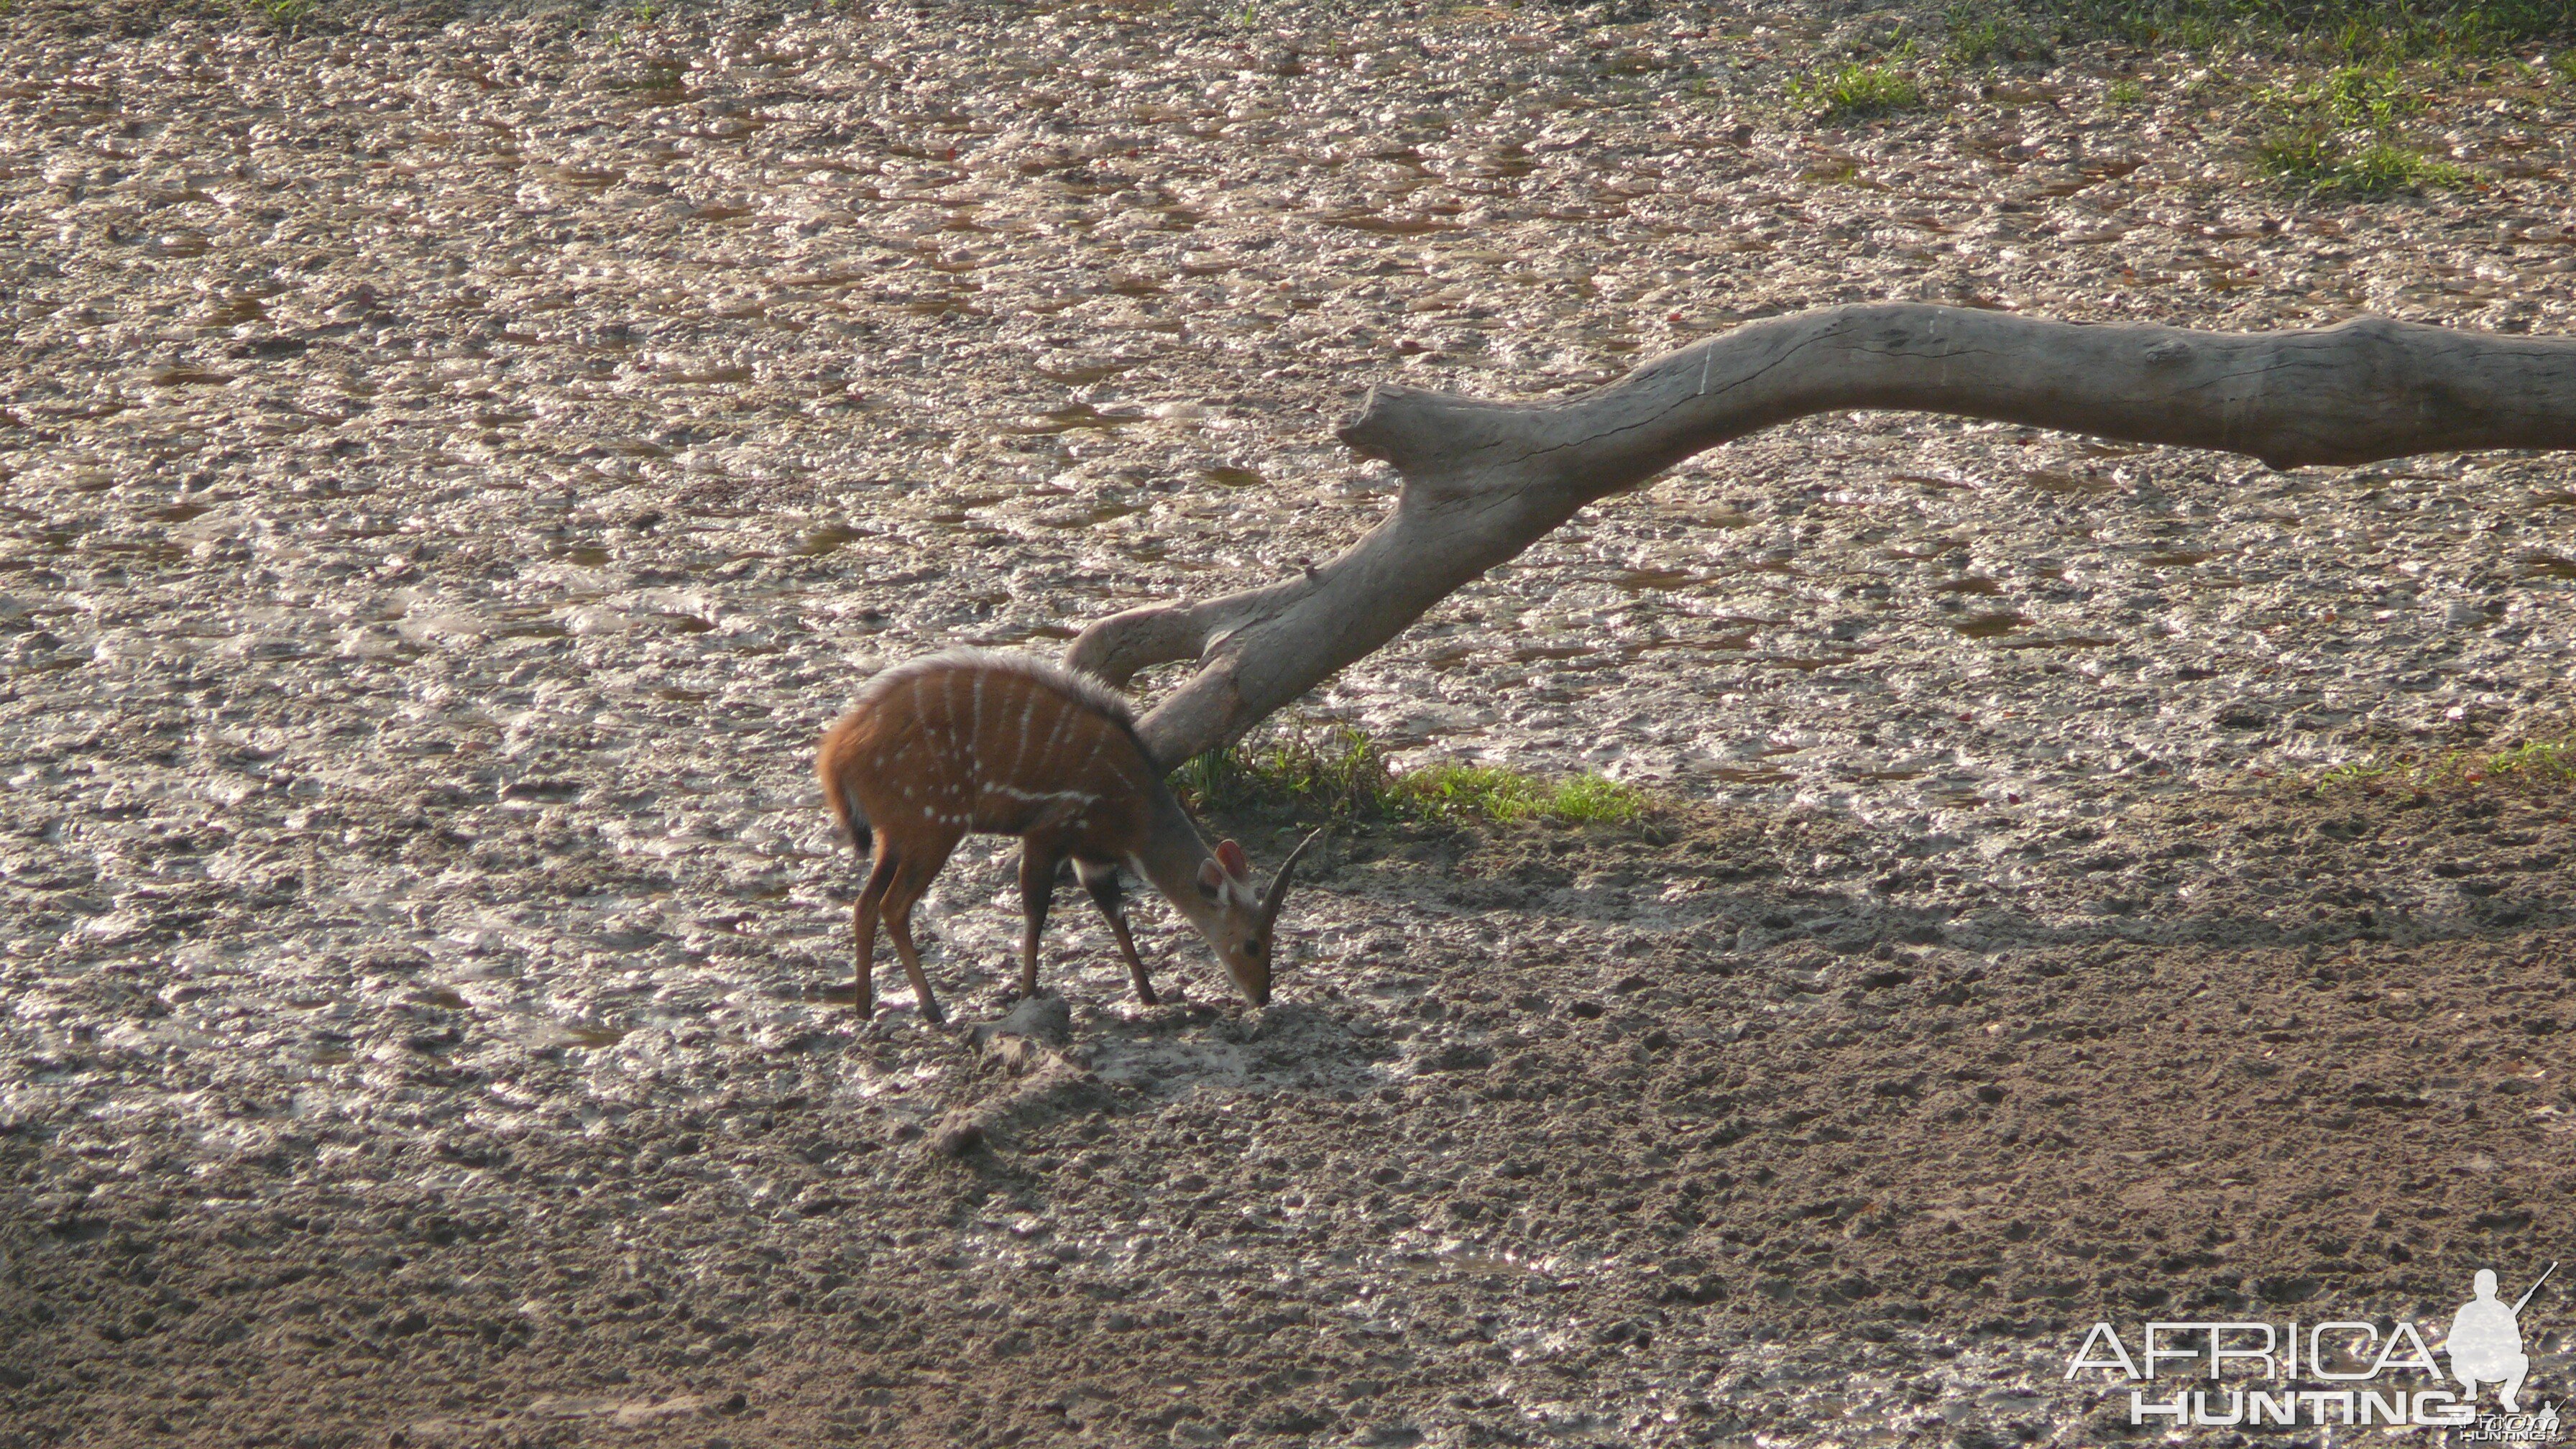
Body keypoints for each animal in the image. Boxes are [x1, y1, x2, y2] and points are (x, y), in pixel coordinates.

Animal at [814, 649, 1319, 1021]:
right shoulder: (1048, 834)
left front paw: (1150, 994)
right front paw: (1027, 993)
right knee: (892, 906)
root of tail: (837, 755)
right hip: (933, 827)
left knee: (864, 904)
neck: (1134, 809)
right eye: (1252, 942)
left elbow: (1115, 913)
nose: (1263, 995)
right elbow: (1036, 910)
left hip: (897, 837)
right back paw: (933, 1009)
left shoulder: (1089, 856)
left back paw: (864, 1007)